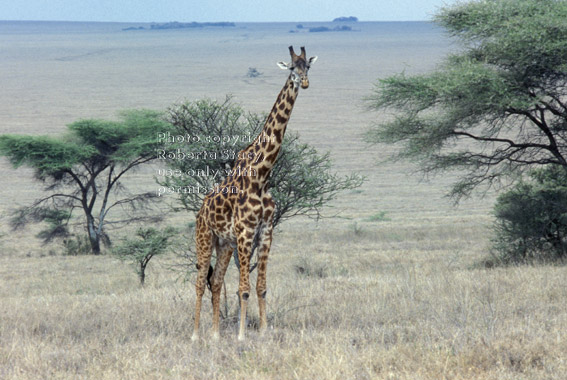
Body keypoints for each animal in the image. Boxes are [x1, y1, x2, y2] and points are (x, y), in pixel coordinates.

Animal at [190, 46, 316, 340]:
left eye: (308, 67)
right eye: (292, 69)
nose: (304, 83)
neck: (262, 174)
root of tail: (200, 211)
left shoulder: (266, 232)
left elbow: (261, 287)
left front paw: (264, 331)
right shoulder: (246, 233)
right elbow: (243, 290)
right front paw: (241, 335)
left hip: (224, 244)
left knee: (215, 282)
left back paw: (215, 334)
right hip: (204, 238)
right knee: (200, 283)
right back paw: (195, 334)